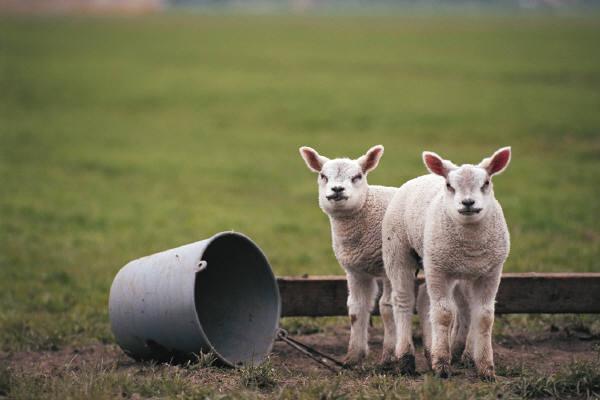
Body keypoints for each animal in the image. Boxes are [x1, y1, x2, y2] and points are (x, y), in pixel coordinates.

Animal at [300, 145, 398, 368]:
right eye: (323, 176)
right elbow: (356, 309)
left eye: (357, 176)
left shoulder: (392, 266)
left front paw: (388, 357)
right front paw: (353, 357)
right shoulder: (356, 270)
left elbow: (387, 308)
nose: (337, 189)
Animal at [384, 148, 510, 382]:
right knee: (404, 301)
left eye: (486, 182)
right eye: (450, 185)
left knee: (433, 301)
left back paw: (447, 351)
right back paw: (406, 359)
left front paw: (486, 368)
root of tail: (421, 177)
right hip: (398, 251)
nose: (468, 203)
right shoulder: (439, 269)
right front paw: (441, 364)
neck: (471, 243)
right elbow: (444, 314)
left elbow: (484, 316)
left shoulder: (491, 271)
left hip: (449, 266)